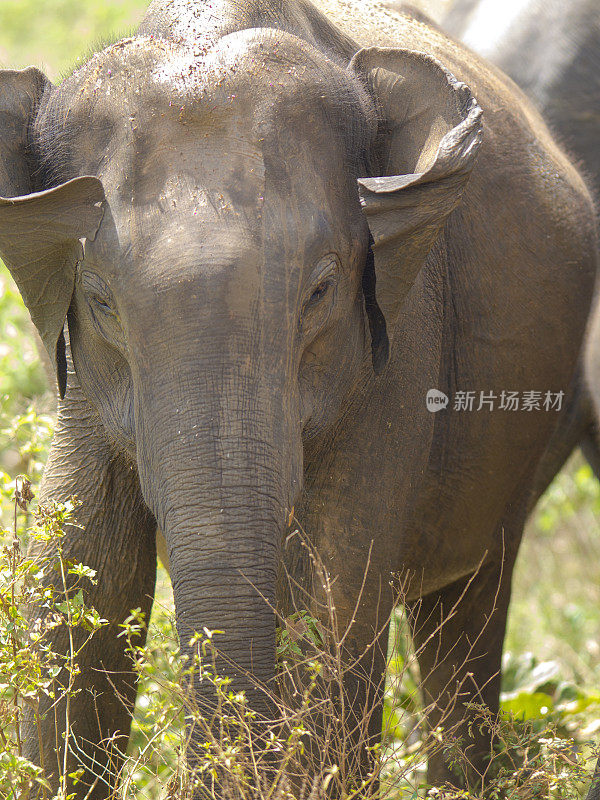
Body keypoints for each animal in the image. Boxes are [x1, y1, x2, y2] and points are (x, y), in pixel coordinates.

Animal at [0, 0, 596, 792]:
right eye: (99, 301)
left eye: (320, 290)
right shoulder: (82, 392)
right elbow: (74, 586)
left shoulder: (397, 344)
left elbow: (332, 602)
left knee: (467, 610)